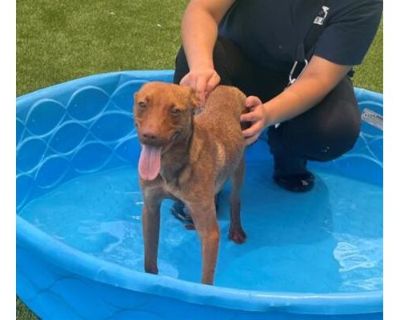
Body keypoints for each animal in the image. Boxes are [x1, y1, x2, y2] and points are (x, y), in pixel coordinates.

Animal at [134, 82, 247, 284]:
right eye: (142, 104)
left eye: (175, 111)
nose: (149, 135)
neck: (170, 165)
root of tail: (227, 87)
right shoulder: (150, 208)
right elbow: (149, 259)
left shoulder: (211, 235)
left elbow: (206, 281)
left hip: (239, 165)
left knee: (235, 199)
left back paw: (236, 228)